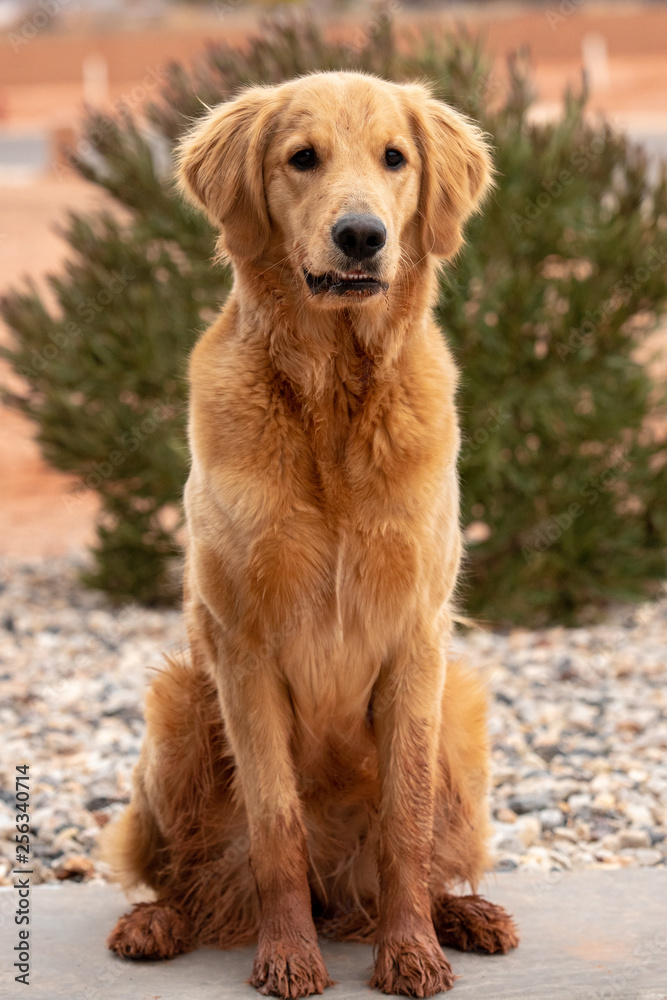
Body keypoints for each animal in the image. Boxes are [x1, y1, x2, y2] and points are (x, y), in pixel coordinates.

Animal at [105, 68, 520, 992]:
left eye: (395, 158)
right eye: (302, 158)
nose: (361, 236)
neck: (331, 390)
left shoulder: (416, 641)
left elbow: (405, 826)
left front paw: (410, 950)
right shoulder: (244, 647)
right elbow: (274, 827)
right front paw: (289, 955)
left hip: (461, 715)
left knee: (436, 859)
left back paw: (466, 916)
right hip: (177, 708)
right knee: (190, 876)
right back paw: (157, 922)